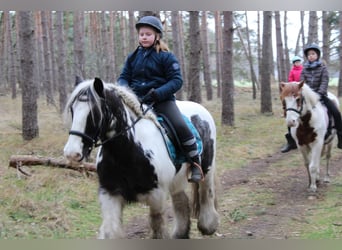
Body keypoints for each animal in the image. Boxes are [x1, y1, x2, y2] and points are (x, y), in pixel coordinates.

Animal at [63, 77, 220, 238]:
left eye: (94, 112)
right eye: (72, 109)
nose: (71, 153)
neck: (125, 152)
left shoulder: (157, 196)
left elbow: (158, 227)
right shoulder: (109, 193)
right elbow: (109, 231)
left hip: (207, 168)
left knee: (206, 192)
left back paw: (208, 226)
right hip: (176, 178)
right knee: (181, 200)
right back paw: (180, 234)